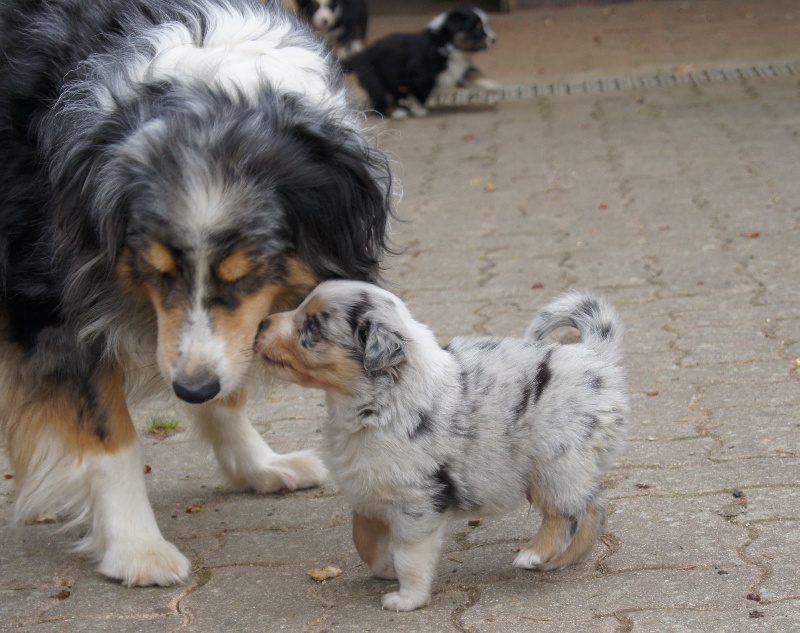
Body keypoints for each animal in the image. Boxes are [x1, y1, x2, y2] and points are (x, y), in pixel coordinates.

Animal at [0, 0, 394, 588]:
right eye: (156, 270)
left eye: (250, 271)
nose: (188, 390)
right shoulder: (50, 306)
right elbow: (109, 435)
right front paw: (136, 548)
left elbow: (226, 379)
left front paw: (257, 465)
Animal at [342, 6, 494, 119]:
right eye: (475, 29)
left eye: (485, 26)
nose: (494, 39)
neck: (445, 44)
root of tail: (358, 57)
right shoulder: (417, 74)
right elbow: (418, 92)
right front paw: (418, 109)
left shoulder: (458, 68)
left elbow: (473, 72)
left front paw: (491, 84)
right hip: (375, 81)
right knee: (380, 100)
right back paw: (397, 112)